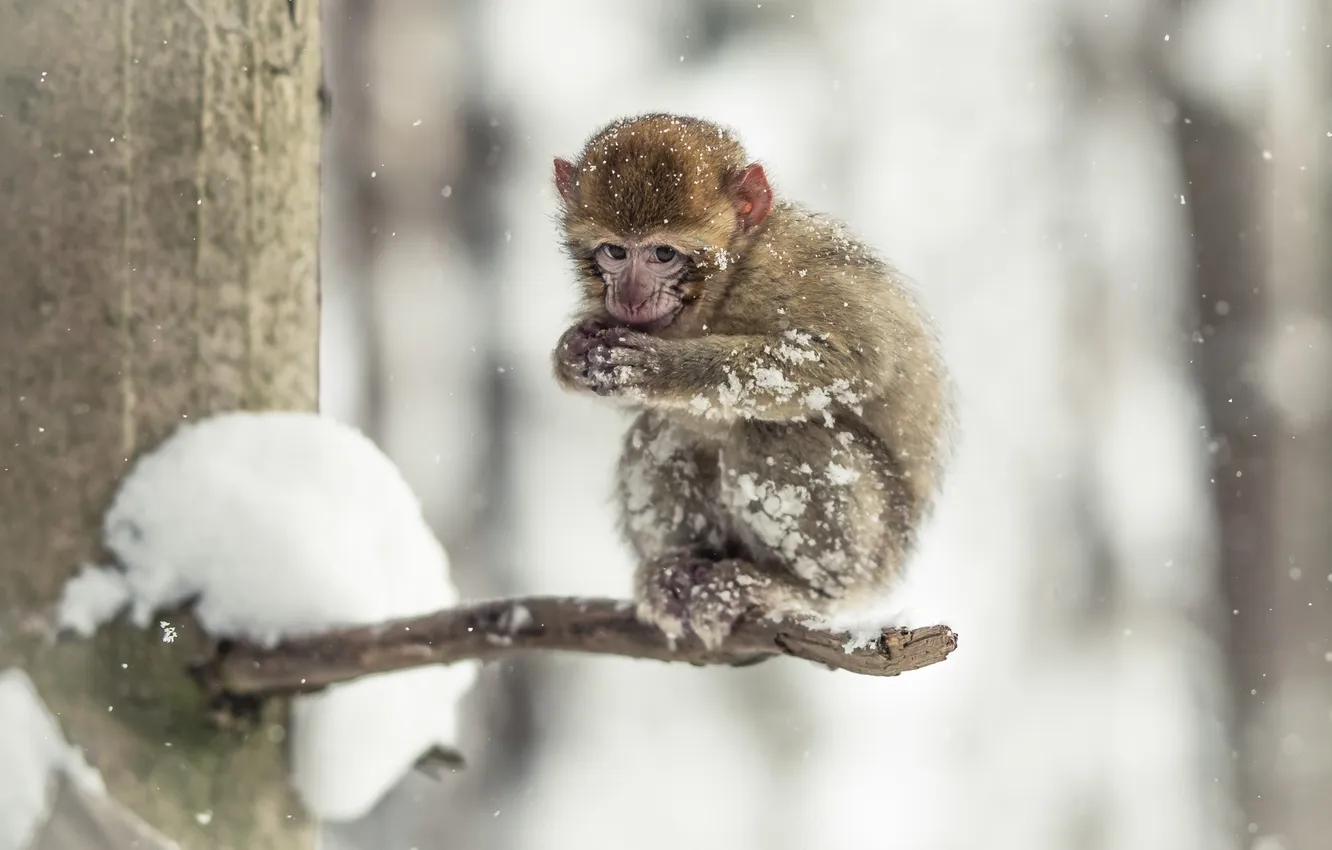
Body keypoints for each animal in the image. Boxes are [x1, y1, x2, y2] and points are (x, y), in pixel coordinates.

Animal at [550, 113, 953, 650]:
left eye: (663, 254)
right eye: (614, 251)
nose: (630, 297)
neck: (720, 289)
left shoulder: (784, 274)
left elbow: (856, 359)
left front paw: (664, 368)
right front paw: (570, 353)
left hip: (875, 553)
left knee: (775, 434)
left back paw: (797, 589)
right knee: (665, 431)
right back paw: (676, 570)